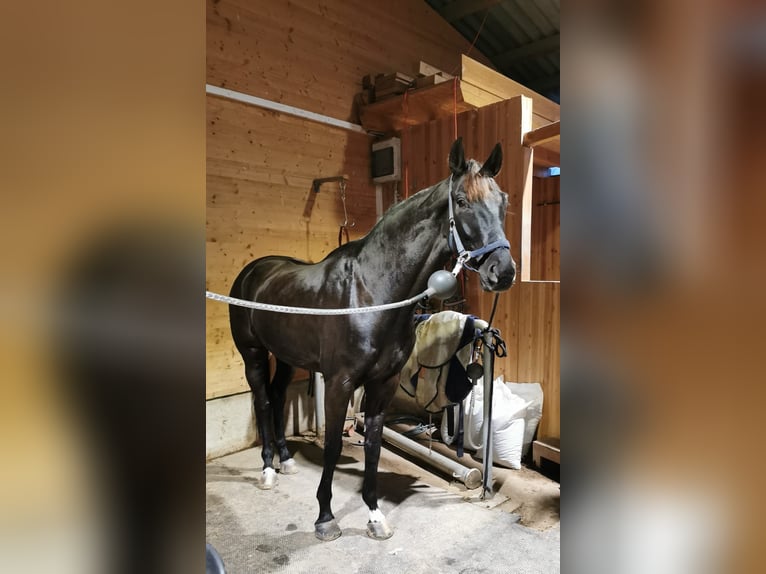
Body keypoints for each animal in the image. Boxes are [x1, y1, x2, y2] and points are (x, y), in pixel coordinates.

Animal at [228, 137, 516, 541]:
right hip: (253, 353)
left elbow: (375, 446)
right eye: (461, 201)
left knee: (277, 395)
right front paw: (325, 518)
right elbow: (333, 446)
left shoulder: (384, 383)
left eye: (503, 200)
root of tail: (253, 270)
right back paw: (268, 470)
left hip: (284, 356)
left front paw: (375, 515)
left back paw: (285, 461)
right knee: (264, 402)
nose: (502, 272)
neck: (370, 291)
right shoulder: (339, 383)